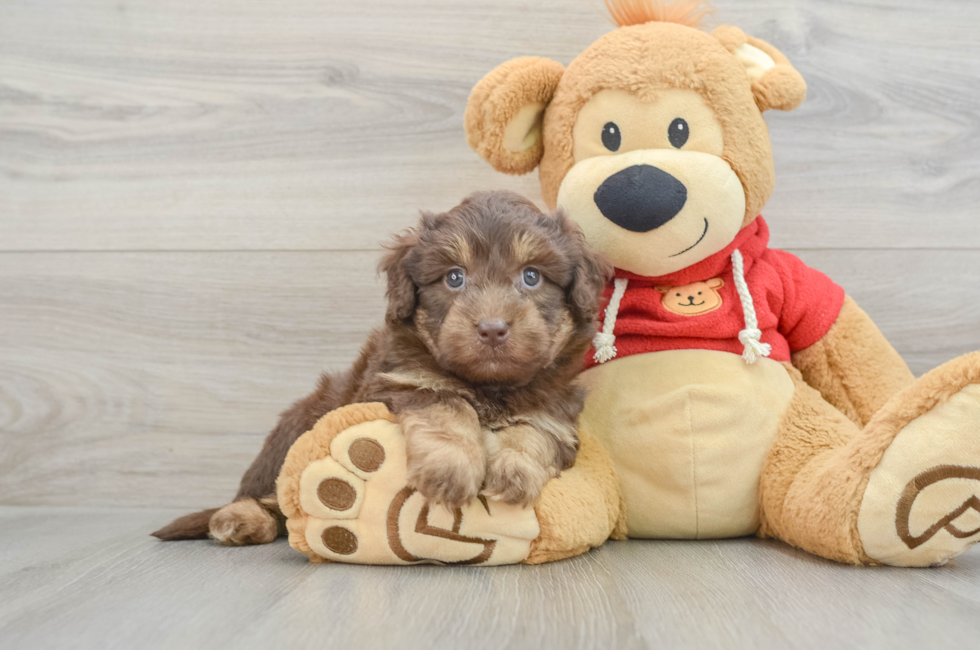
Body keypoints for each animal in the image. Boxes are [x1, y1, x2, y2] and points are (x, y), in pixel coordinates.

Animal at [151, 190, 612, 544]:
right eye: (454, 278)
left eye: (531, 277)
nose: (492, 328)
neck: (488, 385)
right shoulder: (401, 383)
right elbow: (448, 405)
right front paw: (452, 467)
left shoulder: (556, 409)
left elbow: (533, 429)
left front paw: (515, 470)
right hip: (298, 426)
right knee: (275, 497)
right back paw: (240, 519)